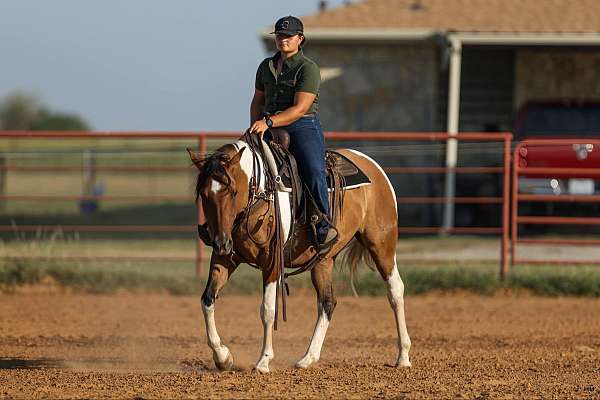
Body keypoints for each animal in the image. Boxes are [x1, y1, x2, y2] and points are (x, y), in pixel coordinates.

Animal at [189, 134, 412, 372]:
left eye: (232, 192)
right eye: (204, 195)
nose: (220, 242)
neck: (259, 193)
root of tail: (374, 167)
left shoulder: (272, 262)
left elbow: (268, 310)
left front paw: (263, 361)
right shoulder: (225, 258)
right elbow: (207, 300)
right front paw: (223, 357)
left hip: (382, 245)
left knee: (395, 291)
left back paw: (403, 356)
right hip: (323, 260)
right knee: (327, 302)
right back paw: (308, 358)